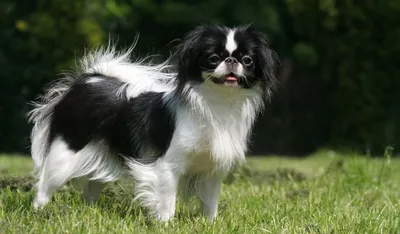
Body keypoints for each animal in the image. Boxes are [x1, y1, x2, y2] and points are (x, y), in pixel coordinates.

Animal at [28, 25, 278, 221]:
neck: (218, 103)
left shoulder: (213, 171)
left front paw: (210, 224)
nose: (232, 60)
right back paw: (40, 212)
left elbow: (210, 204)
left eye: (247, 60)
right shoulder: (168, 166)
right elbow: (168, 200)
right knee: (44, 186)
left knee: (91, 187)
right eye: (213, 58)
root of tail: (88, 80)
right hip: (65, 154)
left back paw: (90, 211)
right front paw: (166, 224)